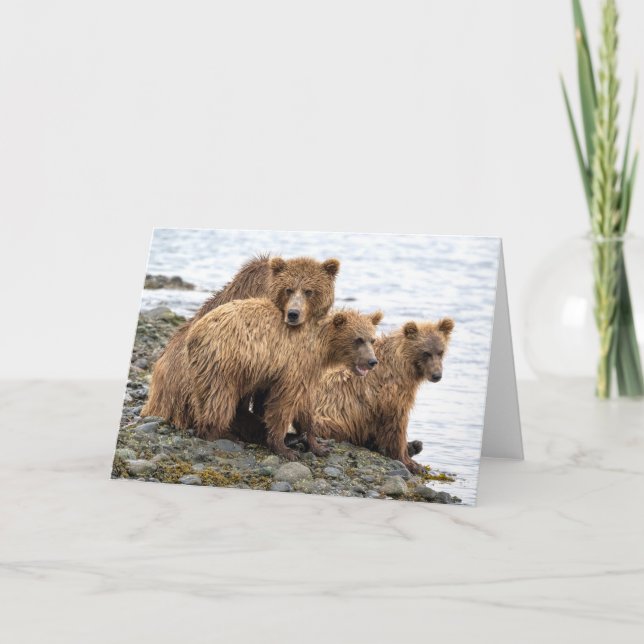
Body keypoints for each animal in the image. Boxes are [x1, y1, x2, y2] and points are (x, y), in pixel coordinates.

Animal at [186, 302, 383, 460]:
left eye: (372, 340)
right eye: (358, 339)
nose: (372, 361)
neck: (322, 348)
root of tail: (194, 332)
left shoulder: (309, 372)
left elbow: (306, 406)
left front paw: (318, 446)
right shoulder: (295, 364)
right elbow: (284, 403)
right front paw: (284, 449)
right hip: (225, 362)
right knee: (219, 398)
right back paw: (221, 434)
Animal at [308, 318, 455, 473]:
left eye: (440, 351)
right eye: (426, 353)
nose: (437, 375)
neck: (403, 365)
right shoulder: (390, 394)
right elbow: (396, 424)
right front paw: (412, 464)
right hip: (329, 417)